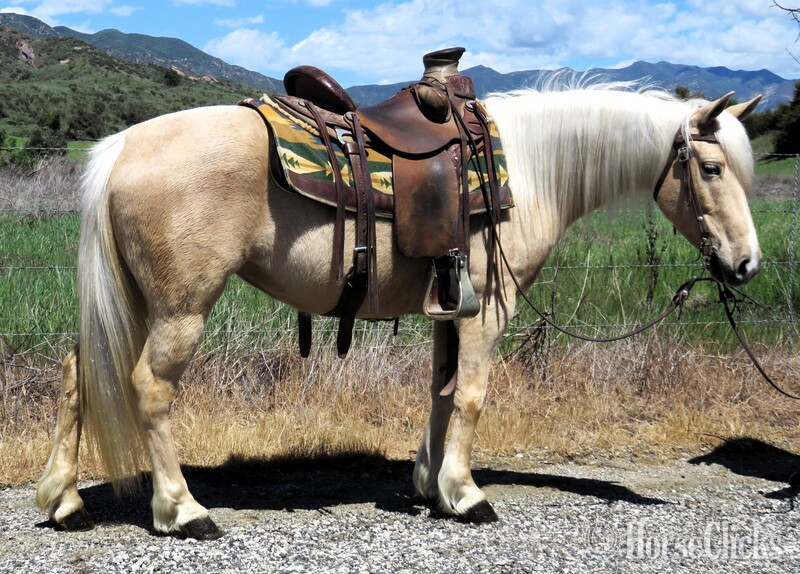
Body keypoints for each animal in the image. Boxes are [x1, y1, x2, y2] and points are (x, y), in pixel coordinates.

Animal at [35, 81, 762, 539]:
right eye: (713, 169)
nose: (747, 263)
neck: (527, 170)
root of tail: (123, 146)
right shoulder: (485, 312)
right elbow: (470, 395)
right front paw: (466, 495)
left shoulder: (450, 310)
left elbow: (441, 393)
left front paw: (431, 484)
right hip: (180, 310)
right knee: (149, 391)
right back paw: (183, 511)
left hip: (135, 303)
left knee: (76, 375)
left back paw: (63, 499)